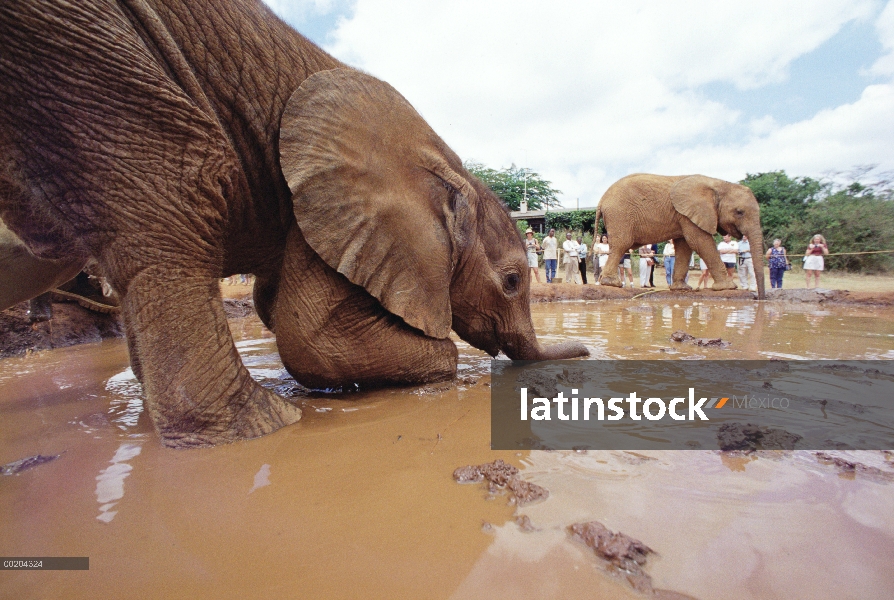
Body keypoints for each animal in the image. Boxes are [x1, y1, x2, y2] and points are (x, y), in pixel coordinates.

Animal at [0, 0, 588, 448]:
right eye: (511, 281)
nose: (586, 354)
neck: (449, 170)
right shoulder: (325, 207)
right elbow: (313, 339)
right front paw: (448, 369)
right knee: (176, 187)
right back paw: (261, 425)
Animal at [600, 172, 768, 298]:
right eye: (739, 212)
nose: (759, 298)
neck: (719, 184)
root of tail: (602, 200)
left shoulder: (685, 215)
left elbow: (685, 246)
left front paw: (682, 289)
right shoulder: (689, 214)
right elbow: (700, 242)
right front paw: (729, 287)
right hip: (619, 215)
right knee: (621, 245)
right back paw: (612, 284)